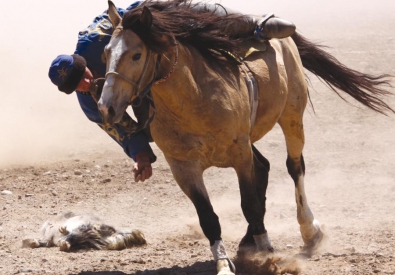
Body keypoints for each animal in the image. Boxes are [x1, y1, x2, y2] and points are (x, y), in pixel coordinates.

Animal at [97, 1, 394, 274]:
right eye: (106, 53)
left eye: (136, 55)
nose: (105, 107)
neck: (194, 97)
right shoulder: (183, 167)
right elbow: (209, 217)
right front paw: (224, 264)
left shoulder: (240, 154)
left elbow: (249, 203)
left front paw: (266, 254)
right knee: (263, 168)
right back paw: (248, 241)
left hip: (292, 117)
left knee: (294, 168)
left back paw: (308, 231)